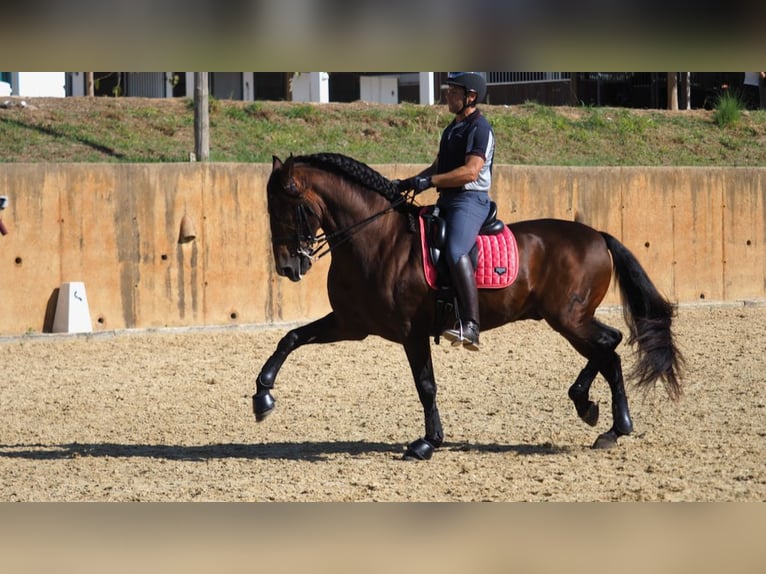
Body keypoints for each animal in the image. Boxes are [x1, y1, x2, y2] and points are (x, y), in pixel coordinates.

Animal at [255, 153, 688, 464]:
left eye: (286, 206)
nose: (288, 267)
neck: (376, 239)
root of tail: (596, 234)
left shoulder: (411, 332)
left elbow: (425, 385)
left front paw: (427, 443)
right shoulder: (350, 324)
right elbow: (290, 338)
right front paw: (263, 397)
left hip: (569, 318)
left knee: (609, 344)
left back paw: (603, 416)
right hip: (569, 319)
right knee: (609, 349)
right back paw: (605, 422)